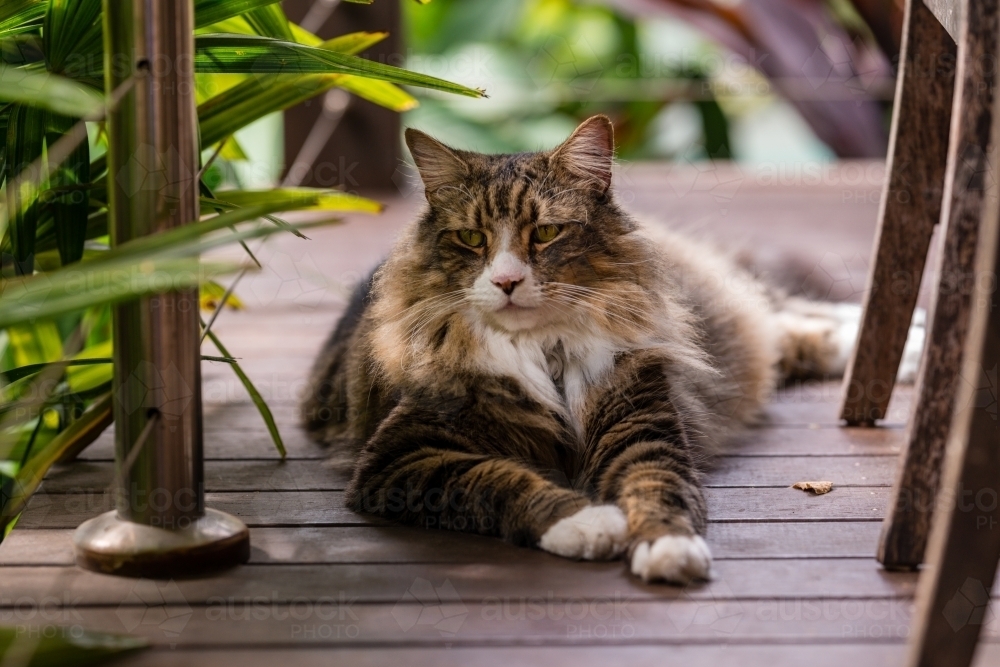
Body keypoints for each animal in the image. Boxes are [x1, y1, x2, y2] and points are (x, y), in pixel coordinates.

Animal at [300, 116, 924, 584]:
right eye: (472, 239)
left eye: (545, 234)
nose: (506, 281)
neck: (544, 352)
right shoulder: (402, 460)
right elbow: (499, 481)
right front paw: (587, 525)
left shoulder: (641, 426)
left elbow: (657, 485)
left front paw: (667, 548)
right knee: (788, 332)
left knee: (789, 314)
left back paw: (910, 342)